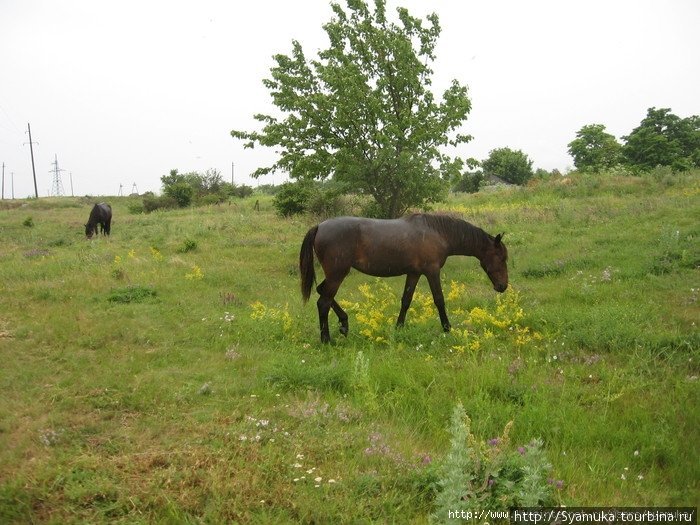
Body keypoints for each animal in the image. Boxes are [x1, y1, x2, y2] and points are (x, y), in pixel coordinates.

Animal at [300, 213, 508, 344]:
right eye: (501, 258)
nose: (503, 286)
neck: (438, 233)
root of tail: (319, 226)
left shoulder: (414, 273)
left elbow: (406, 300)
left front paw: (399, 327)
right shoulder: (432, 271)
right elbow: (439, 300)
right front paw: (447, 328)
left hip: (334, 274)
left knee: (322, 292)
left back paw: (344, 324)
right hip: (337, 274)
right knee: (323, 302)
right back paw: (326, 339)